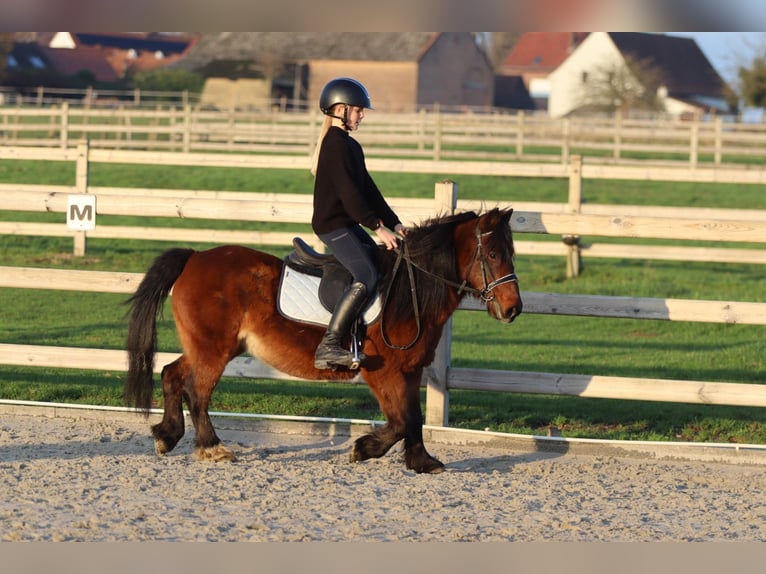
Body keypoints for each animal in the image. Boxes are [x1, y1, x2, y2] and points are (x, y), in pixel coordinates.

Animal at [124, 207, 522, 474]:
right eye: (492, 254)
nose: (513, 309)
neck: (409, 289)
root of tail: (195, 257)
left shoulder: (409, 371)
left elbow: (414, 417)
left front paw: (422, 461)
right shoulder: (384, 372)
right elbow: (400, 421)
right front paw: (363, 448)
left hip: (210, 346)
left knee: (172, 374)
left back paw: (167, 435)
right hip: (214, 349)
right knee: (197, 391)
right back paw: (211, 448)